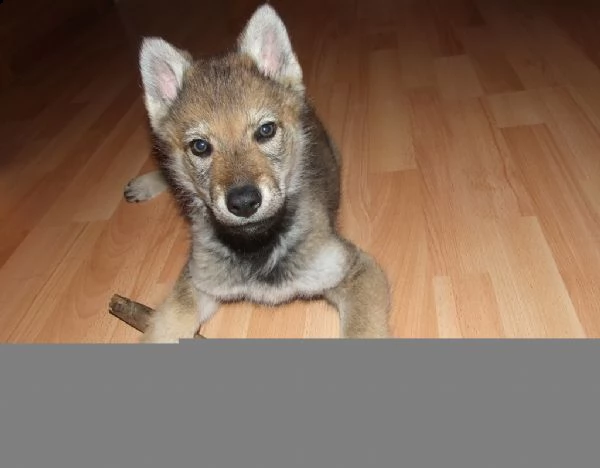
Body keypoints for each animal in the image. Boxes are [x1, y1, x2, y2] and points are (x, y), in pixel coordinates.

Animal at [124, 2, 392, 340]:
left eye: (266, 130)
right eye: (200, 146)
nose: (243, 203)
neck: (256, 248)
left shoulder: (354, 268)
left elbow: (363, 330)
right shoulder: (199, 282)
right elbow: (167, 324)